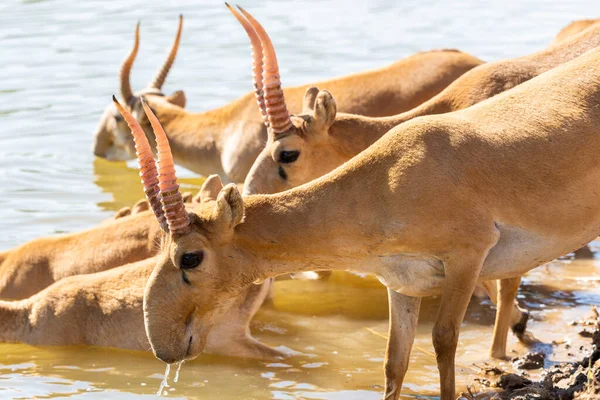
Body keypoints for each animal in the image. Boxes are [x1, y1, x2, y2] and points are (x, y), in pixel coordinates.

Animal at [117, 43, 600, 400]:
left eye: (190, 257)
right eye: (158, 246)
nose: (162, 346)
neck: (387, 181)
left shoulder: (467, 257)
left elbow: (445, 341)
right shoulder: (402, 284)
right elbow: (394, 362)